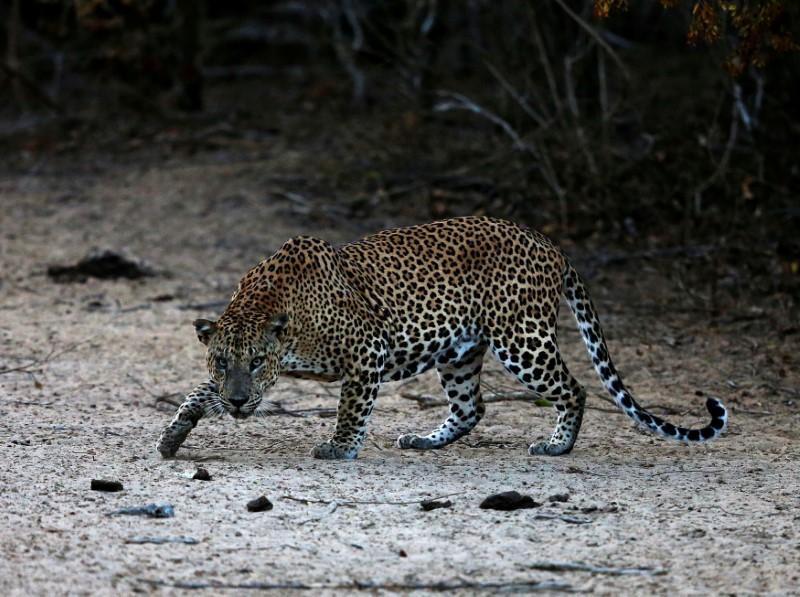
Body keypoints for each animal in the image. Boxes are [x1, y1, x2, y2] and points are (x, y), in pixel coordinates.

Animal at [156, 216, 728, 460]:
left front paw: (340, 448)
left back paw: (557, 446)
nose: (238, 400)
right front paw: (175, 433)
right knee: (472, 406)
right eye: (223, 361)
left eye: (256, 361)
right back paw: (425, 439)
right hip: (460, 351)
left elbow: (350, 408)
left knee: (576, 389)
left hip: (522, 338)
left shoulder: (367, 351)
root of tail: (549, 243)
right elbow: (197, 394)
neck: (278, 312)